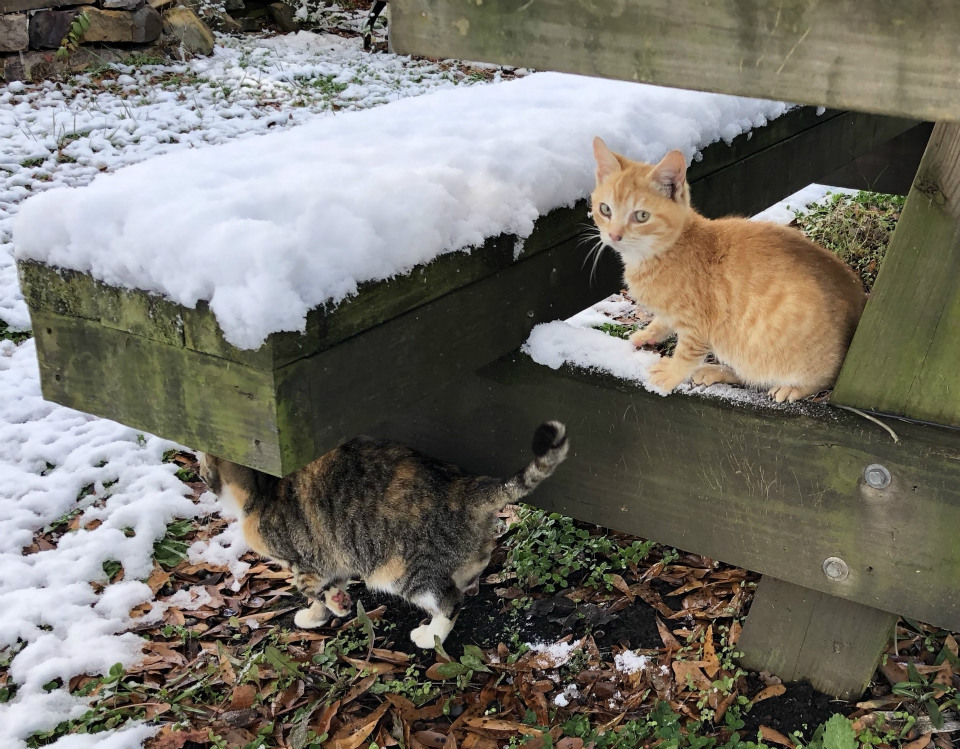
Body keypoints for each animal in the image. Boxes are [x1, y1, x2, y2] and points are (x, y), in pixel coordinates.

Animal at [198, 424, 568, 644]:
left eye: (203, 467)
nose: (201, 474)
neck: (263, 489)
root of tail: (463, 486)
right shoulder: (332, 554)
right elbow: (330, 585)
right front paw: (329, 608)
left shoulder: (304, 561)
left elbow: (310, 589)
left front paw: (326, 608)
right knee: (476, 561)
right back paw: (469, 580)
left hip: (400, 570)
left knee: (449, 601)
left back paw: (431, 634)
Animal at [588, 137, 868, 400]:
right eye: (605, 209)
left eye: (641, 216)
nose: (614, 235)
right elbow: (663, 320)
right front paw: (649, 333)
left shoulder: (698, 326)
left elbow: (687, 353)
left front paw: (670, 375)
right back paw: (714, 371)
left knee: (820, 377)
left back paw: (793, 388)